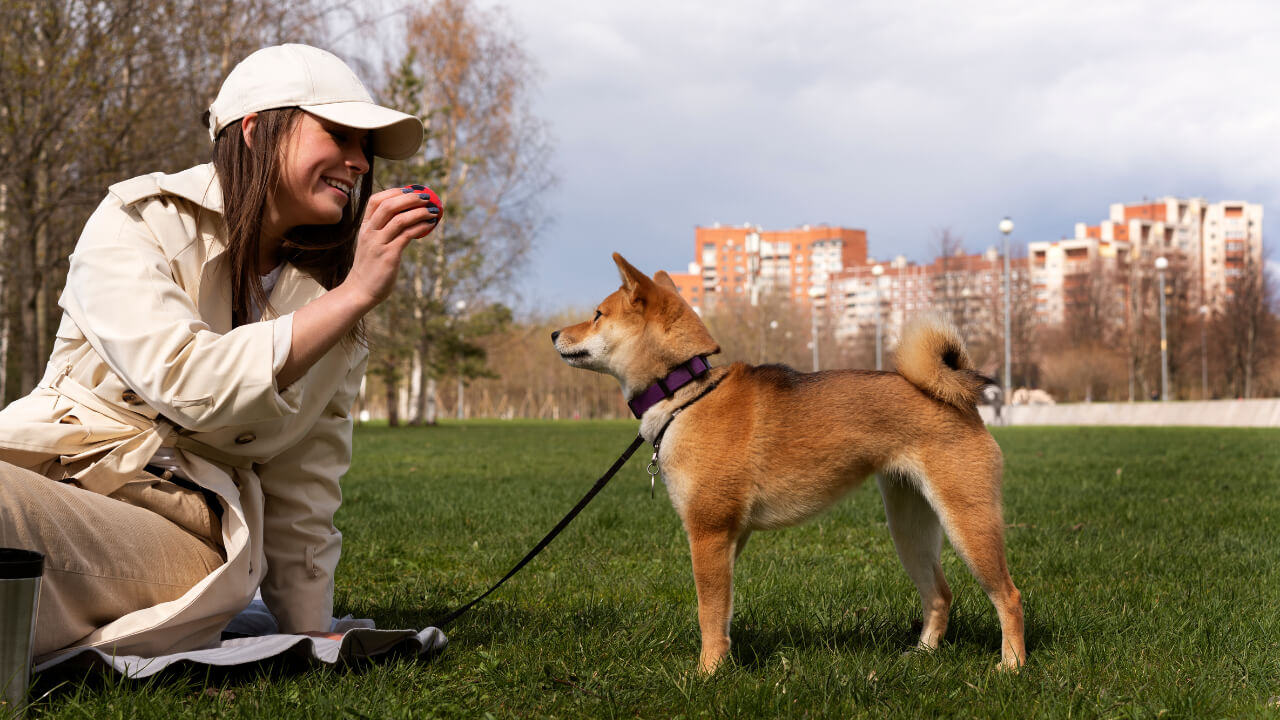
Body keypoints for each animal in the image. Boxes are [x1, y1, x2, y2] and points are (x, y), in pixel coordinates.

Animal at [547, 252, 1018, 671]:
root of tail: (957, 398)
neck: (684, 391)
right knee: (939, 594)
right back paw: (921, 655)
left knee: (1008, 597)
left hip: (968, 522)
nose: (553, 334)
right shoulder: (729, 537)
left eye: (597, 315)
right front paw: (722, 662)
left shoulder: (708, 532)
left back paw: (1011, 665)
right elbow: (721, 613)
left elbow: (708, 612)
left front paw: (705, 674)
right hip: (910, 527)